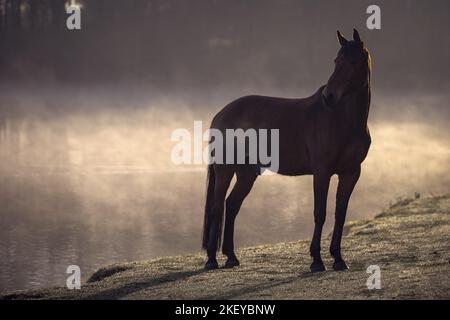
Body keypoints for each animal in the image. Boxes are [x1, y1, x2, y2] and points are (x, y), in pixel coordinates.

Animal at [202, 29, 370, 272]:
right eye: (336, 61)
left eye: (353, 61)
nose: (328, 96)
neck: (343, 120)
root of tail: (221, 114)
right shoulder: (322, 173)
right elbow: (320, 213)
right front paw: (317, 260)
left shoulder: (351, 173)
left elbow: (340, 214)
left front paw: (338, 259)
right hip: (225, 171)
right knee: (217, 208)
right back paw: (211, 260)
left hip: (247, 174)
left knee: (231, 205)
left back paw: (231, 257)